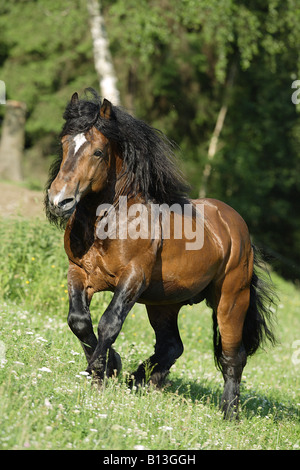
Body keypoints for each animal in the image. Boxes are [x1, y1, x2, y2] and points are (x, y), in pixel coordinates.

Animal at [45, 88, 276, 418]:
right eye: (64, 144)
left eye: (98, 152)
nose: (58, 200)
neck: (109, 223)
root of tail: (236, 227)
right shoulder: (79, 272)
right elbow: (78, 320)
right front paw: (111, 367)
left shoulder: (133, 278)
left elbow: (109, 322)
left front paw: (98, 372)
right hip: (164, 304)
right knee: (171, 345)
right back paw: (141, 380)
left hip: (231, 299)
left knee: (234, 356)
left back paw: (229, 414)